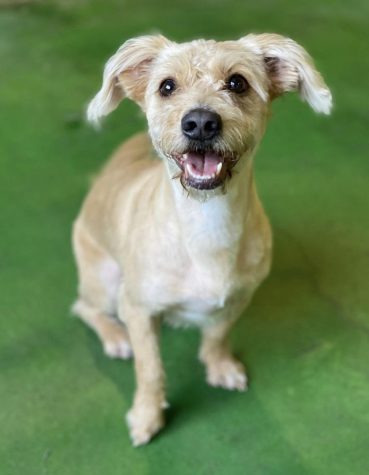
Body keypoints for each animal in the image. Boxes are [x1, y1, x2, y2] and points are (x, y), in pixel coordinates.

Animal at [72, 32, 330, 446]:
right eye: (166, 86)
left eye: (237, 82)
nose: (200, 122)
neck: (206, 225)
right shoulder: (137, 308)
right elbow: (150, 369)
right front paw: (147, 415)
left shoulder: (238, 299)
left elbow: (217, 336)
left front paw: (219, 365)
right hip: (105, 281)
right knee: (84, 308)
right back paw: (115, 336)